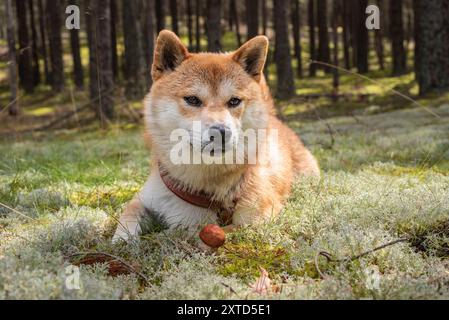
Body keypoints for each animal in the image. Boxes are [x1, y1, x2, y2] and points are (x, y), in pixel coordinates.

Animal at [114, 30, 318, 242]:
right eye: (192, 99)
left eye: (234, 101)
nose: (221, 132)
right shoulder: (146, 198)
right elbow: (127, 216)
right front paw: (124, 240)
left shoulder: (258, 217)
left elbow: (199, 230)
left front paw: (165, 235)